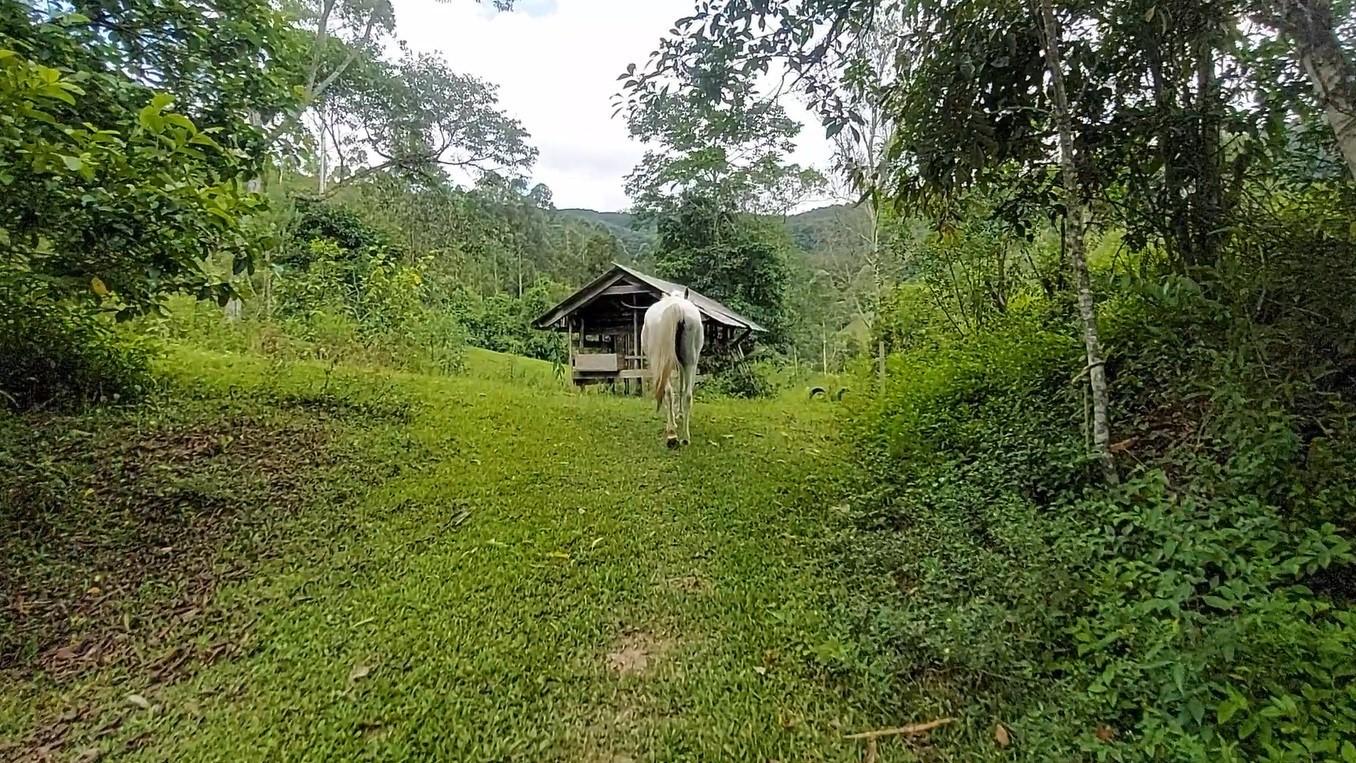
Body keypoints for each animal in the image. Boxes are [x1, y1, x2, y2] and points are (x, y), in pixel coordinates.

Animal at [640, 291, 705, 447]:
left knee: (668, 392)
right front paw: (679, 414)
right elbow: (681, 387)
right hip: (690, 361)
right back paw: (685, 438)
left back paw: (671, 432)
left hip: (662, 361)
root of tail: (677, 308)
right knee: (688, 394)